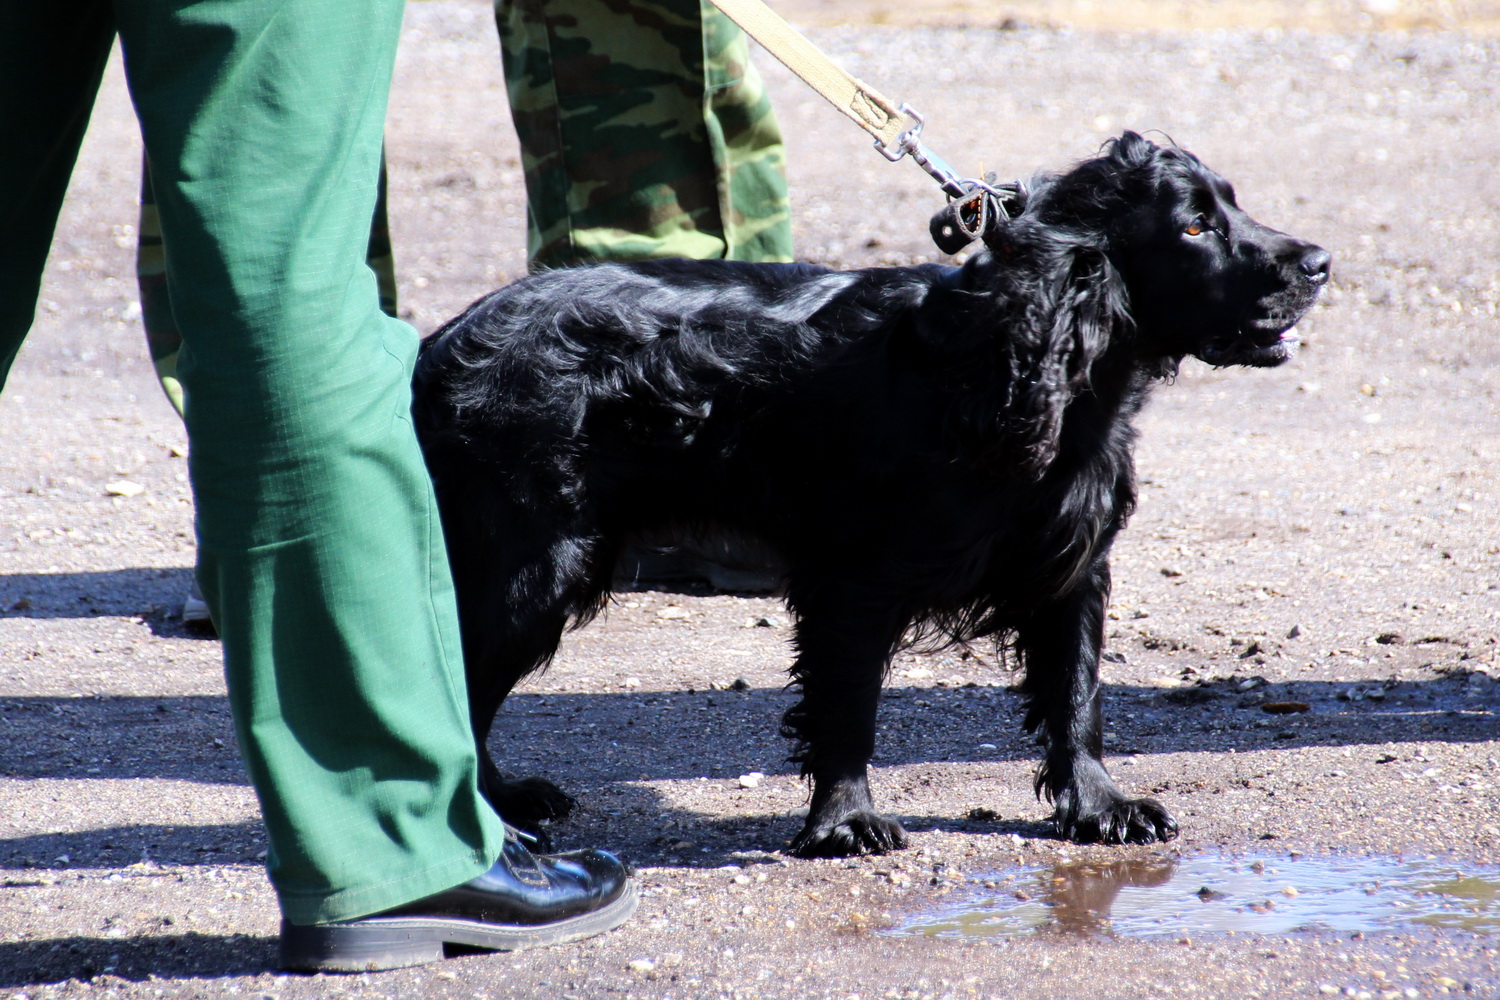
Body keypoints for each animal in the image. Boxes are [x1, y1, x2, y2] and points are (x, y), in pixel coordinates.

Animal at [408, 128, 1326, 857]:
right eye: (1195, 227)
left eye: (1234, 206)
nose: (1319, 262)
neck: (1011, 363)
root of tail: (436, 346)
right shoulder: (855, 580)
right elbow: (848, 707)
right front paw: (844, 822)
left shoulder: (1071, 566)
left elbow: (1077, 694)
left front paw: (1099, 806)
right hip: (530, 567)